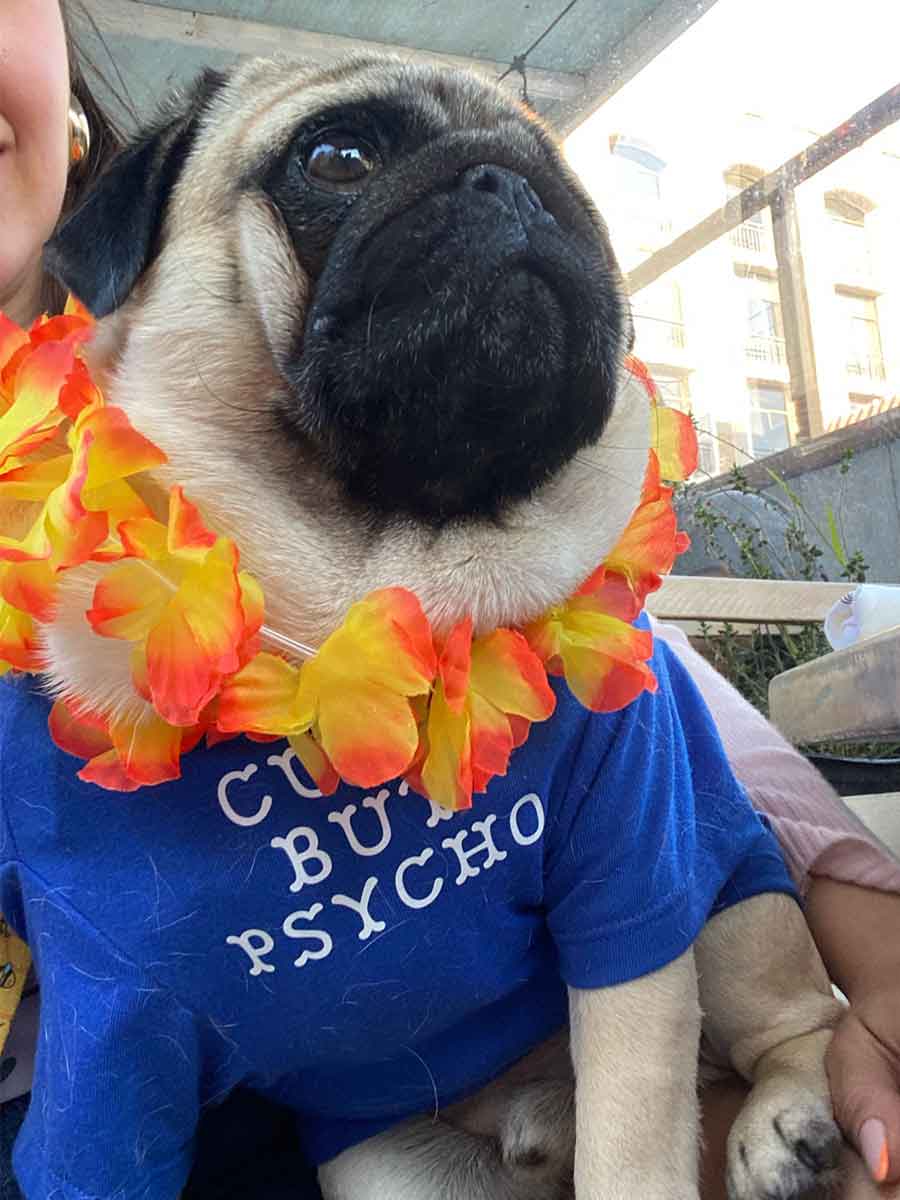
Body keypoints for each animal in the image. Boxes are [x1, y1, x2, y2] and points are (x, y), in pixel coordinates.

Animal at [28, 54, 844, 1200]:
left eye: (581, 197)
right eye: (337, 157)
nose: (513, 184)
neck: (372, 596)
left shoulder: (635, 897)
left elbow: (636, 1147)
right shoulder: (113, 1044)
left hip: (730, 910)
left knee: (798, 1023)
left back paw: (780, 1127)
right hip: (383, 1163)